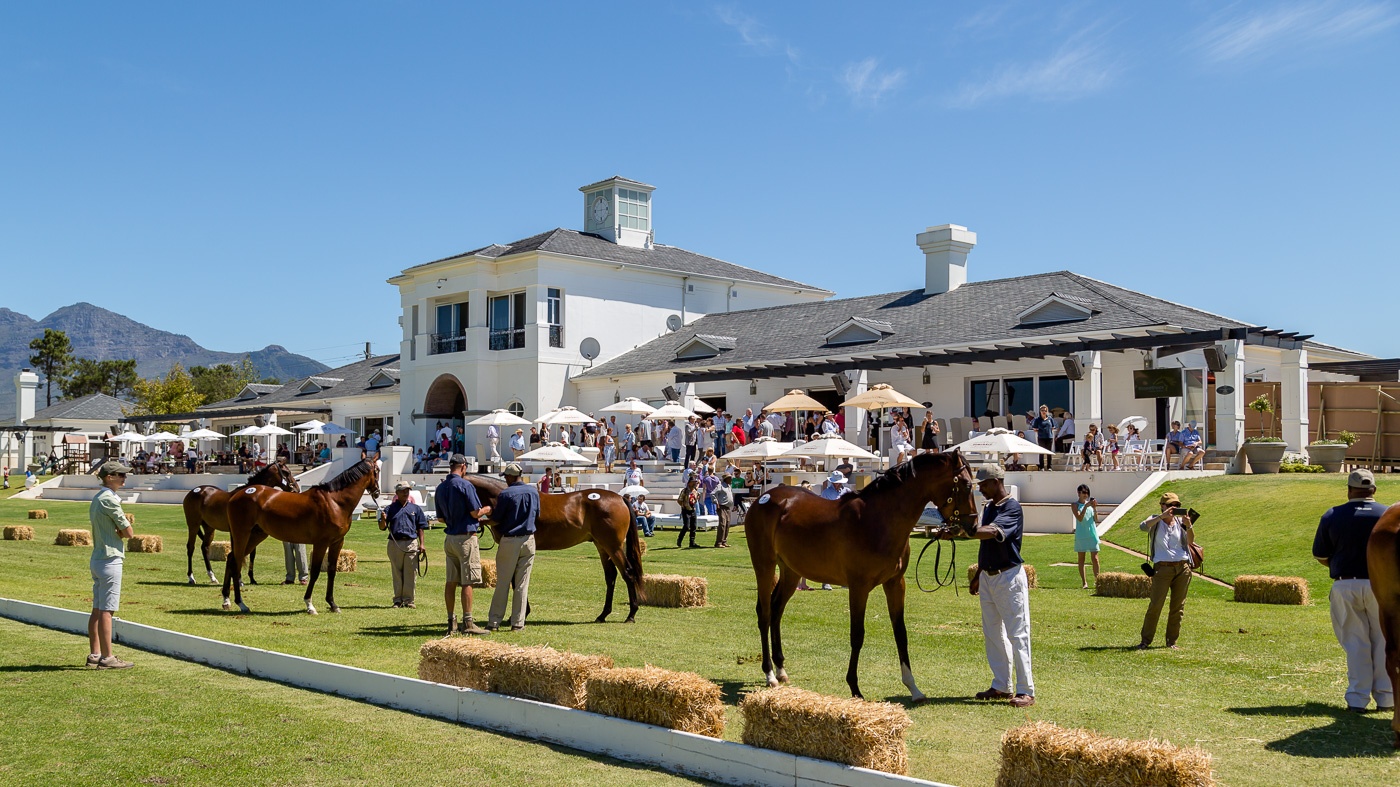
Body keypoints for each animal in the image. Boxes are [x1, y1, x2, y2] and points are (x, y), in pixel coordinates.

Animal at [217, 456, 375, 616]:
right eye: (377, 470)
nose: (376, 491)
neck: (334, 502)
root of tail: (237, 494)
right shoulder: (321, 543)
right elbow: (315, 572)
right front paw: (309, 604)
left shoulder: (337, 542)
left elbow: (331, 571)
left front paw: (332, 604)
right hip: (241, 535)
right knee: (236, 562)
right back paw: (240, 603)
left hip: (255, 536)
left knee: (231, 558)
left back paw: (226, 599)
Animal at [467, 470, 646, 618]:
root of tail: (621, 498)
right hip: (602, 546)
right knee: (611, 576)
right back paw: (603, 614)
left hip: (613, 546)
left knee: (628, 573)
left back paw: (631, 613)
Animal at [744, 448, 974, 697]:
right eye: (967, 485)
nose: (972, 526)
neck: (878, 519)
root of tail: (765, 498)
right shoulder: (858, 587)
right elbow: (857, 635)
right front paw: (855, 688)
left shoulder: (895, 583)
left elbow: (900, 633)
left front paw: (913, 687)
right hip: (764, 565)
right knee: (765, 613)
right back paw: (769, 674)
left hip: (791, 571)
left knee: (777, 610)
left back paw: (781, 670)